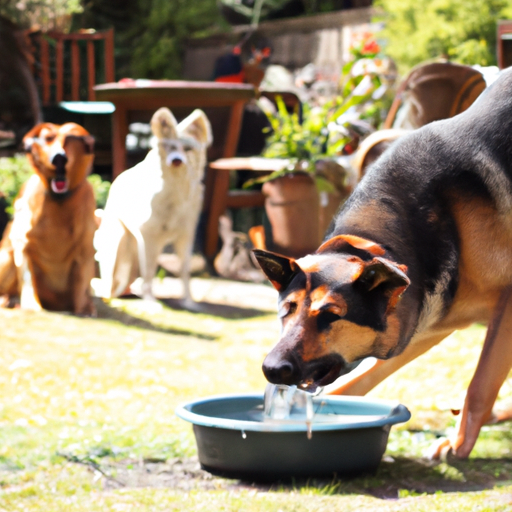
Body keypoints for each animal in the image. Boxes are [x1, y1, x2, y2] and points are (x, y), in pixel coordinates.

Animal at [0, 123, 96, 316]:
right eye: (48, 138)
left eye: (71, 140)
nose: (59, 159)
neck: (60, 200)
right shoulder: (23, 243)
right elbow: (27, 277)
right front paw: (31, 305)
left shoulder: (85, 249)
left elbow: (82, 282)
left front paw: (84, 307)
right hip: (6, 257)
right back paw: (10, 299)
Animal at [94, 108, 212, 306]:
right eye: (169, 147)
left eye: (187, 149)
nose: (176, 160)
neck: (176, 193)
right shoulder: (148, 236)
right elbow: (149, 270)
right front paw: (150, 301)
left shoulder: (186, 234)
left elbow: (184, 270)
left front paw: (189, 302)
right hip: (121, 242)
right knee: (111, 280)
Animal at [254, 68, 512, 460]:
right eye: (287, 310)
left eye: (331, 315)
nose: (272, 369)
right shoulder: (423, 323)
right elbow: (362, 380)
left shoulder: (506, 309)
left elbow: (480, 384)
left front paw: (458, 444)